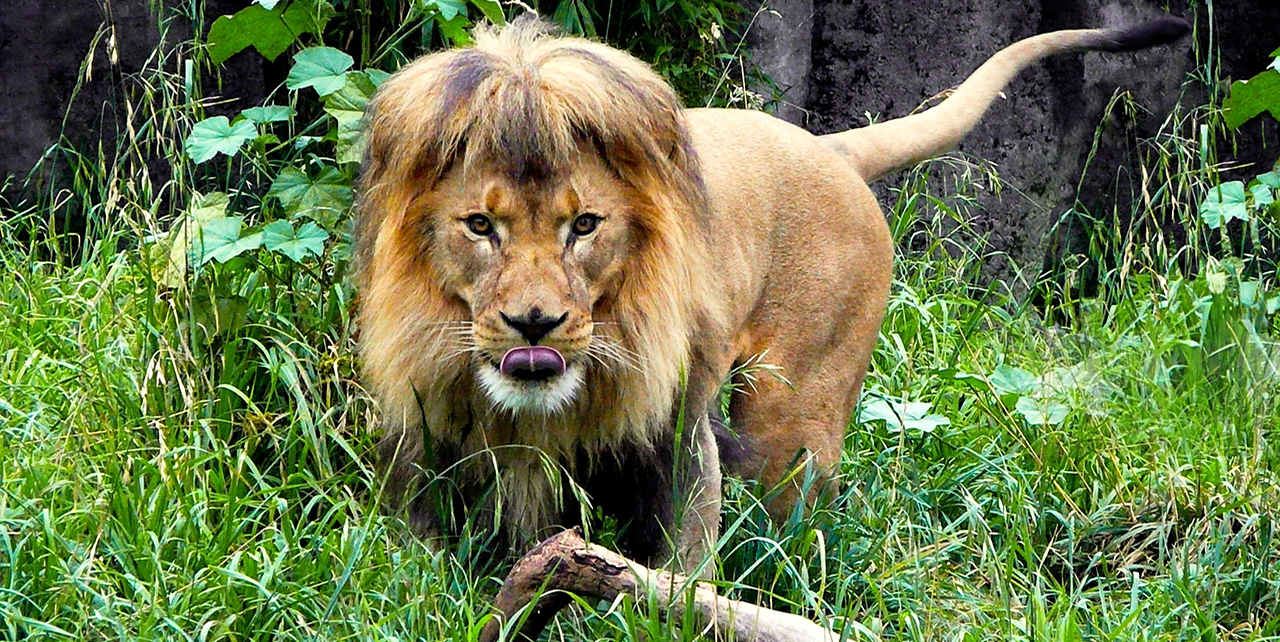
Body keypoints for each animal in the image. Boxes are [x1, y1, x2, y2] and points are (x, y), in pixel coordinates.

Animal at [353, 15, 1187, 570]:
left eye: (584, 225)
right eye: (480, 226)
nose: (535, 322)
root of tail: (828, 147)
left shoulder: (677, 430)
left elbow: (681, 567)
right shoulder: (426, 428)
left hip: (794, 415)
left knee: (798, 528)